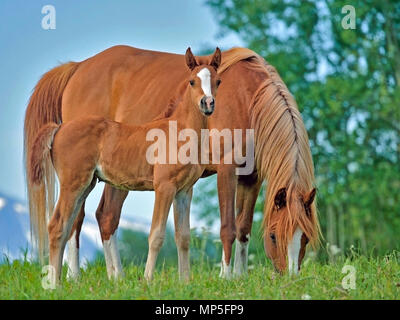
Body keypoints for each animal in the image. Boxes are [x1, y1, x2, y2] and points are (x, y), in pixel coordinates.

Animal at [28, 47, 222, 282]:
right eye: (192, 81)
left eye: (218, 81)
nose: (208, 103)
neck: (178, 131)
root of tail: (59, 128)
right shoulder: (164, 187)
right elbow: (156, 235)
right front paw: (148, 280)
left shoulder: (184, 191)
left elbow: (183, 236)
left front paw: (184, 282)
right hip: (73, 184)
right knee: (57, 225)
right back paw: (55, 283)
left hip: (86, 185)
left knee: (67, 226)